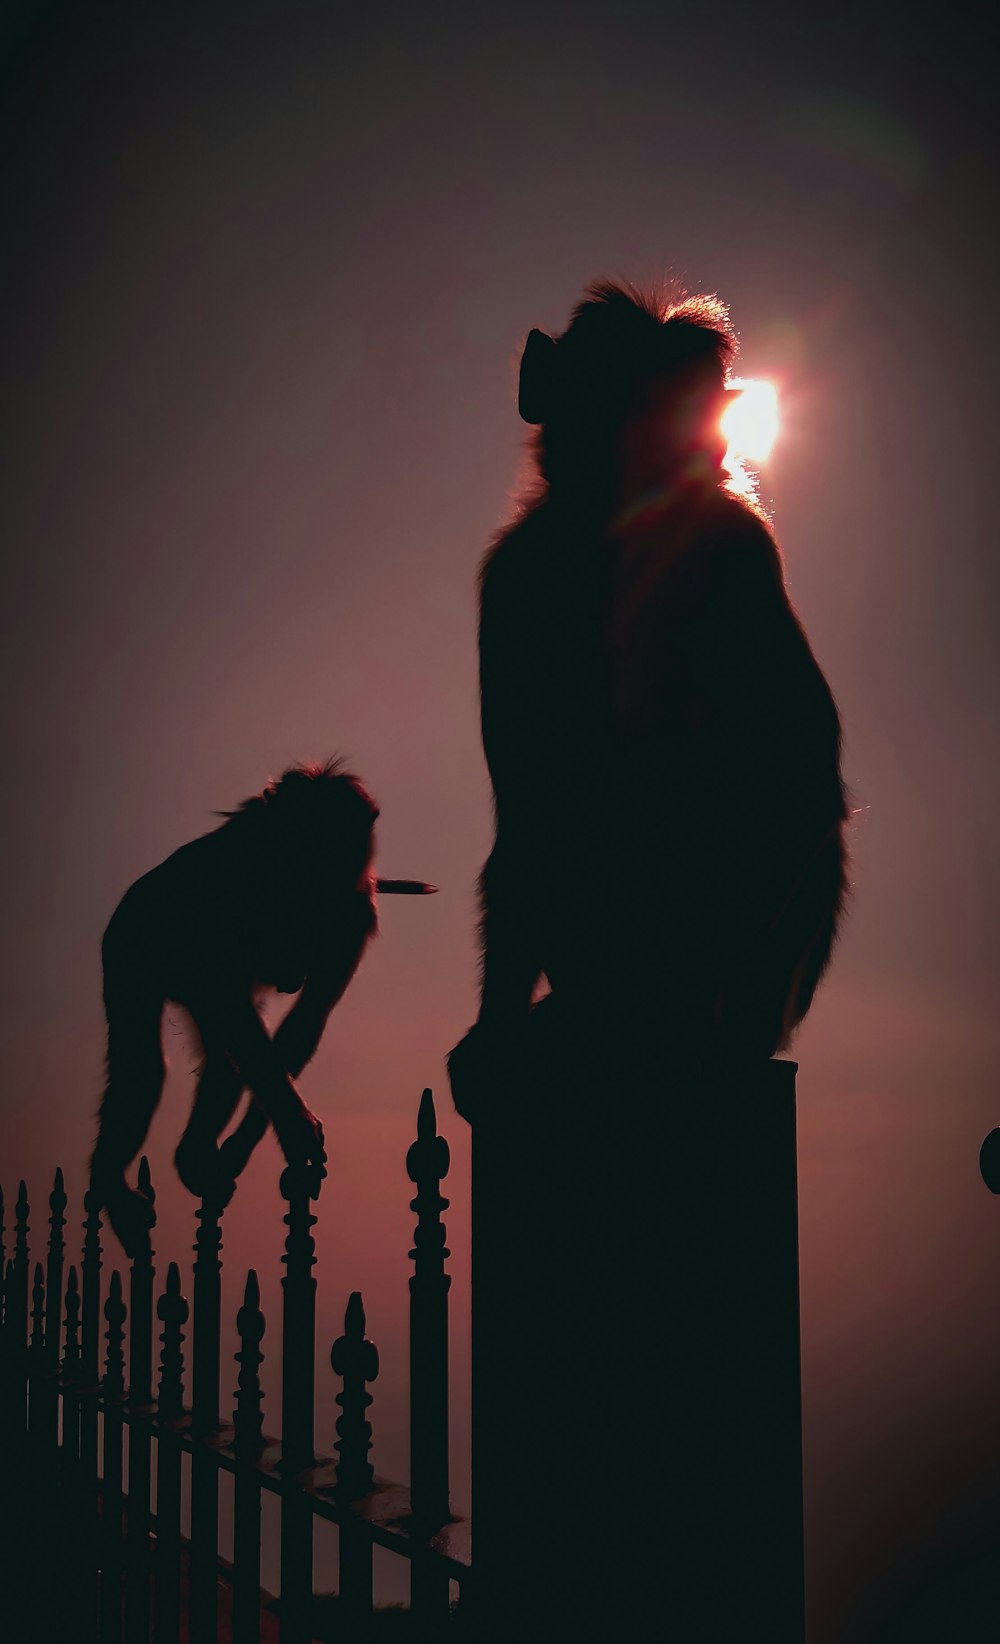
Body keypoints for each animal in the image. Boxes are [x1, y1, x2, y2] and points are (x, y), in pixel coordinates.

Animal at [450, 282, 848, 1111]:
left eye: (692, 406)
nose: (690, 446)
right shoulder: (513, 581)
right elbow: (531, 799)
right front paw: (494, 1029)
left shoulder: (740, 553)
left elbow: (796, 774)